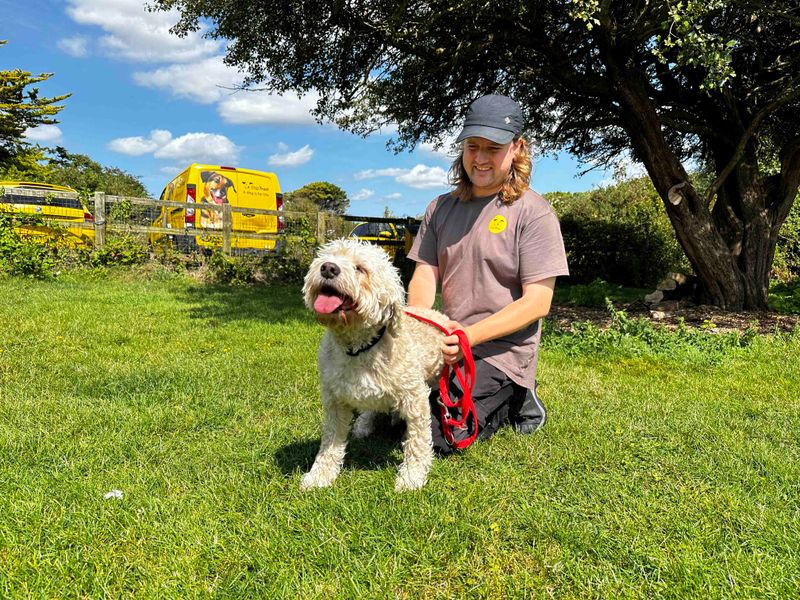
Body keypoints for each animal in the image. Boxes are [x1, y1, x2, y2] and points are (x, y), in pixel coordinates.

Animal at [302, 239, 450, 492]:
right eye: (326, 256)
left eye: (361, 269)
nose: (328, 268)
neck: (359, 349)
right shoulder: (334, 402)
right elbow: (330, 443)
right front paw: (320, 475)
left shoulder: (415, 398)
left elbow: (418, 442)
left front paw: (411, 476)